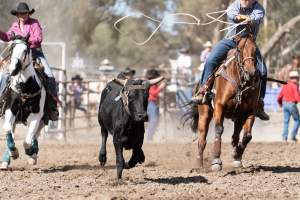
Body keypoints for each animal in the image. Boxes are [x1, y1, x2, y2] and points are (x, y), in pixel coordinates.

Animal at [0, 39, 46, 170]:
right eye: (11, 49)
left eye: (25, 50)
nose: (14, 69)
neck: (24, 87)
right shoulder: (10, 110)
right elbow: (7, 130)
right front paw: (14, 152)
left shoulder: (36, 115)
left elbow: (27, 141)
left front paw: (30, 153)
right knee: (12, 132)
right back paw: (6, 161)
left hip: (42, 120)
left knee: (35, 135)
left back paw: (33, 155)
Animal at [188, 33, 260, 171]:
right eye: (240, 50)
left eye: (255, 51)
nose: (251, 73)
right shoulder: (219, 106)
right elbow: (218, 129)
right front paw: (216, 161)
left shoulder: (250, 111)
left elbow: (247, 135)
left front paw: (236, 154)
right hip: (204, 113)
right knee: (202, 139)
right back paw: (198, 164)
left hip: (238, 118)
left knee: (235, 137)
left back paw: (237, 159)